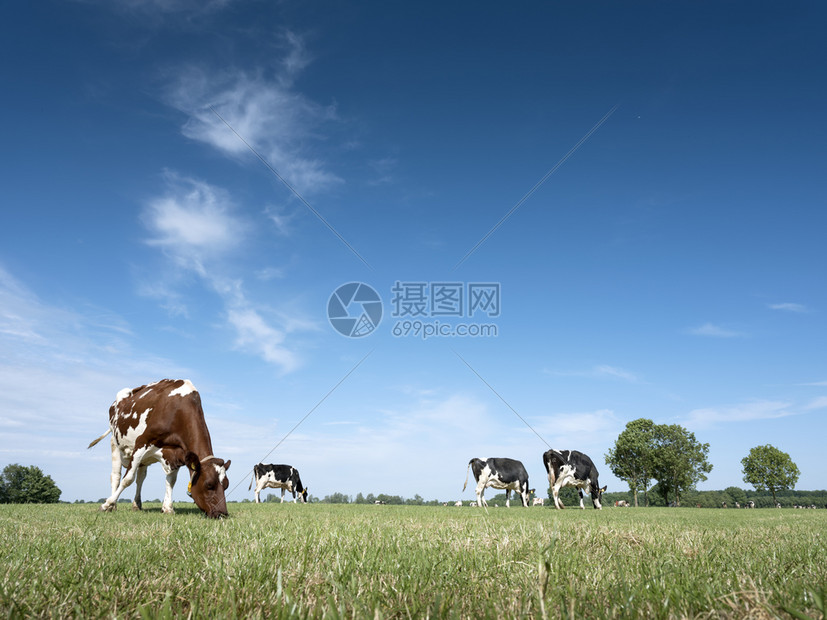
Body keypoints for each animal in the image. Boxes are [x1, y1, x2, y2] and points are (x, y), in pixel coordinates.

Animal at [88, 378, 231, 520]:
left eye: (226, 485)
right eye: (209, 485)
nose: (222, 514)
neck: (177, 412)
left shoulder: (177, 454)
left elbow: (171, 481)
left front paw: (167, 508)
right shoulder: (141, 442)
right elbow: (128, 479)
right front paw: (106, 505)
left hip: (143, 459)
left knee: (140, 478)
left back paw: (136, 504)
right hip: (115, 443)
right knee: (116, 476)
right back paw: (113, 504)